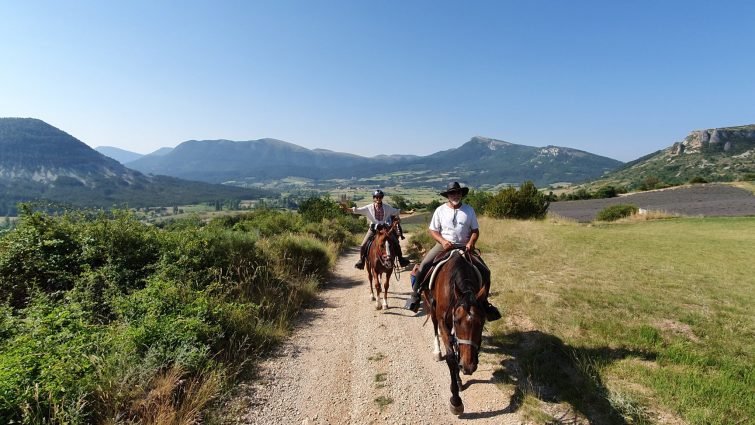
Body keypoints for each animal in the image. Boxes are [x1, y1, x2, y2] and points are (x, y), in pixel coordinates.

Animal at [422, 248, 488, 414]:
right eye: (457, 321)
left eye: (481, 323)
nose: (468, 367)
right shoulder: (444, 323)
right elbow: (451, 358)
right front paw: (456, 400)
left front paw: (459, 378)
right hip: (432, 307)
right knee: (434, 326)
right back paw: (437, 352)